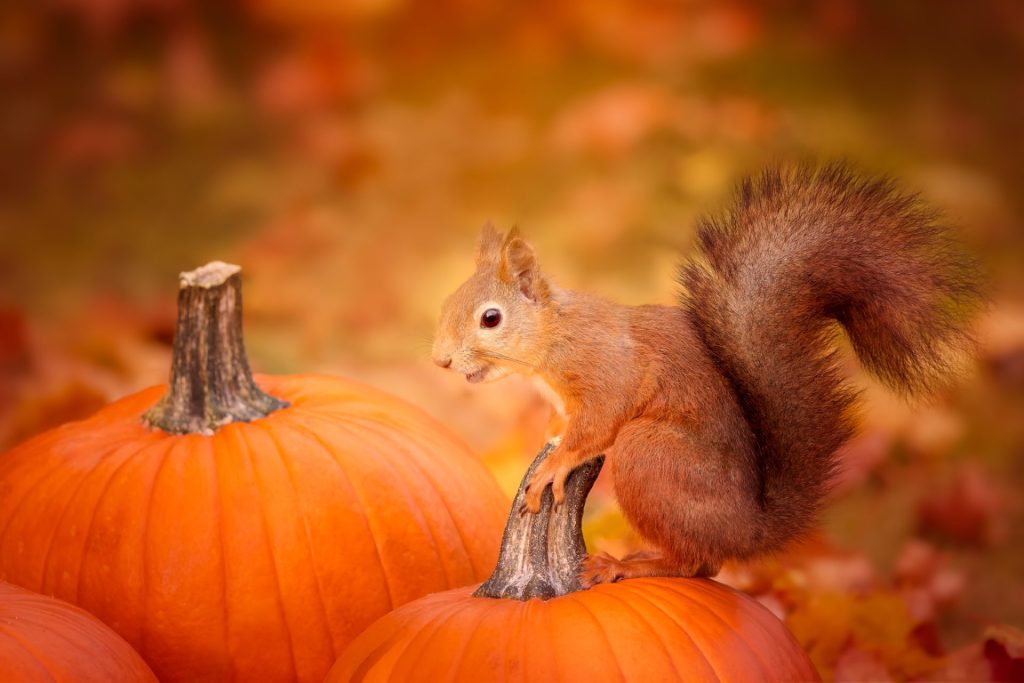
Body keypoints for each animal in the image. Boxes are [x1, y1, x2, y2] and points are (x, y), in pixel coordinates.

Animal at [428, 162, 978, 585]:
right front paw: (552, 434)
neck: (551, 337)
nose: (441, 361)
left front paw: (556, 463)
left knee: (697, 564)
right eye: (449, 299)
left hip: (650, 457)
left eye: (490, 318)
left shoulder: (606, 370)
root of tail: (747, 530)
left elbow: (598, 422)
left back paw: (628, 566)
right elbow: (565, 423)